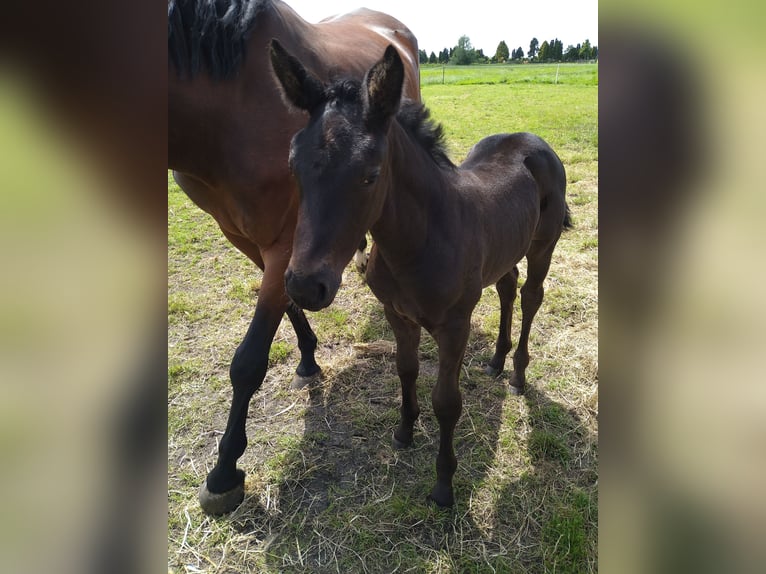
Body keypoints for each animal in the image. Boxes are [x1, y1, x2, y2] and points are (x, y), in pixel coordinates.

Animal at [168, 0, 420, 516]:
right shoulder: (244, 236)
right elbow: (287, 302)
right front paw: (307, 359)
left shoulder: (286, 239)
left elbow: (248, 360)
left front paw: (224, 472)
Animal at [270, 40, 568, 508]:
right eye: (293, 166)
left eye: (370, 175)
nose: (304, 286)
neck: (417, 243)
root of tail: (532, 139)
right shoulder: (397, 313)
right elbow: (405, 370)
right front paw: (405, 431)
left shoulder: (455, 325)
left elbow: (447, 401)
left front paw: (444, 485)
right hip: (505, 249)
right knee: (507, 286)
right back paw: (496, 361)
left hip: (544, 245)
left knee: (531, 296)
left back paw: (518, 372)